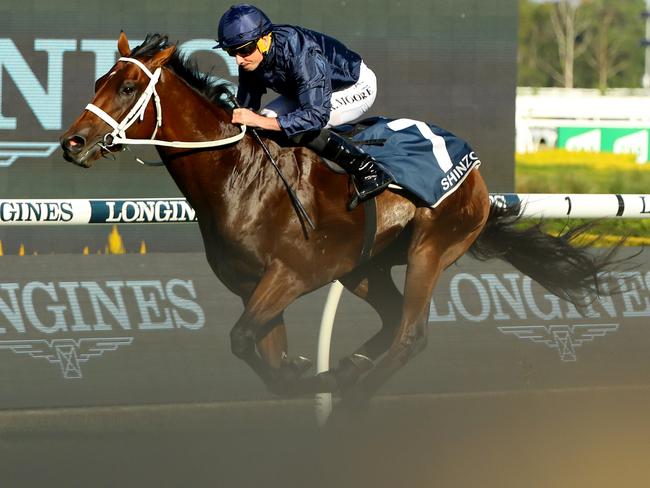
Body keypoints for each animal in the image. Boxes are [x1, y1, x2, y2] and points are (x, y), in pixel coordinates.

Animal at [58, 32, 616, 410]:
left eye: (129, 86)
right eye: (99, 81)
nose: (73, 142)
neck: (239, 178)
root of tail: (476, 172)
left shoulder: (290, 275)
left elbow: (242, 340)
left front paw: (316, 378)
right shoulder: (251, 288)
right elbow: (265, 357)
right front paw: (310, 373)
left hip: (431, 248)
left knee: (410, 334)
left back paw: (355, 391)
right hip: (363, 268)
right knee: (391, 320)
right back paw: (348, 369)